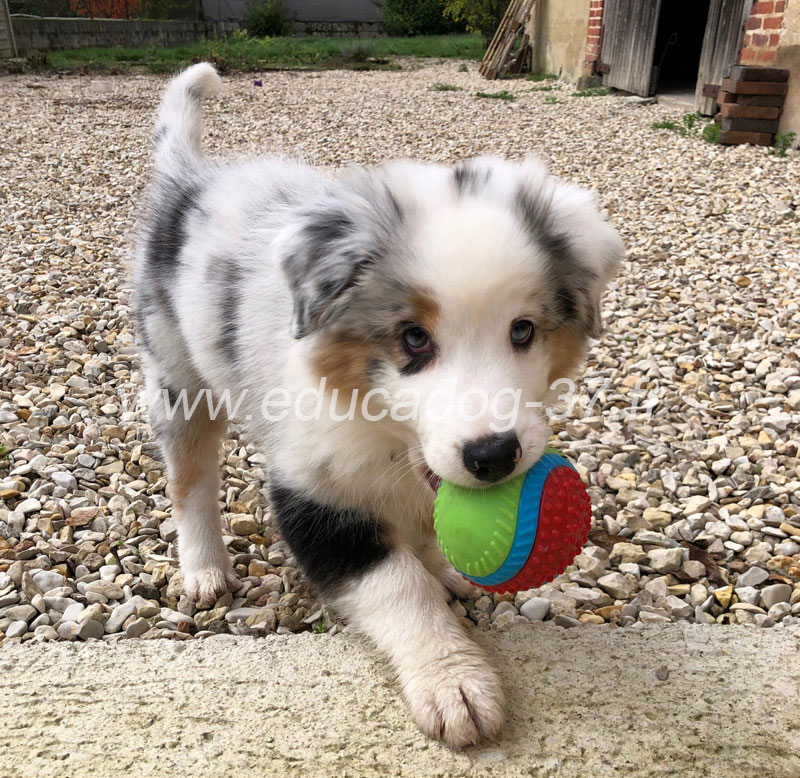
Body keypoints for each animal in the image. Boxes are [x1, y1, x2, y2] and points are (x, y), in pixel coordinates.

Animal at [134, 63, 624, 744]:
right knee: (191, 477)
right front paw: (454, 683)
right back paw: (205, 570)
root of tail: (191, 178)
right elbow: (396, 586)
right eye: (413, 339)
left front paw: (442, 570)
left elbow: (426, 528)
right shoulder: (314, 490)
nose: (494, 456)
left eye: (523, 330)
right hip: (177, 374)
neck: (383, 431)